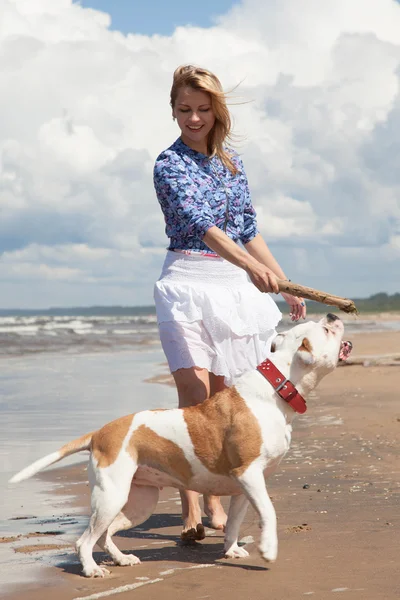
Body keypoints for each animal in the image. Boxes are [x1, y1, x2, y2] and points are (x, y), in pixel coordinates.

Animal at [9, 314, 352, 576]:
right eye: (324, 330)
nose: (333, 315)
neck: (278, 385)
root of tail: (100, 433)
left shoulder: (244, 486)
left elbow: (234, 522)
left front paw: (232, 550)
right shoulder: (249, 475)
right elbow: (269, 512)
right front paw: (268, 549)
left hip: (138, 502)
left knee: (105, 534)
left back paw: (121, 559)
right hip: (111, 496)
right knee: (85, 540)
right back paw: (93, 569)